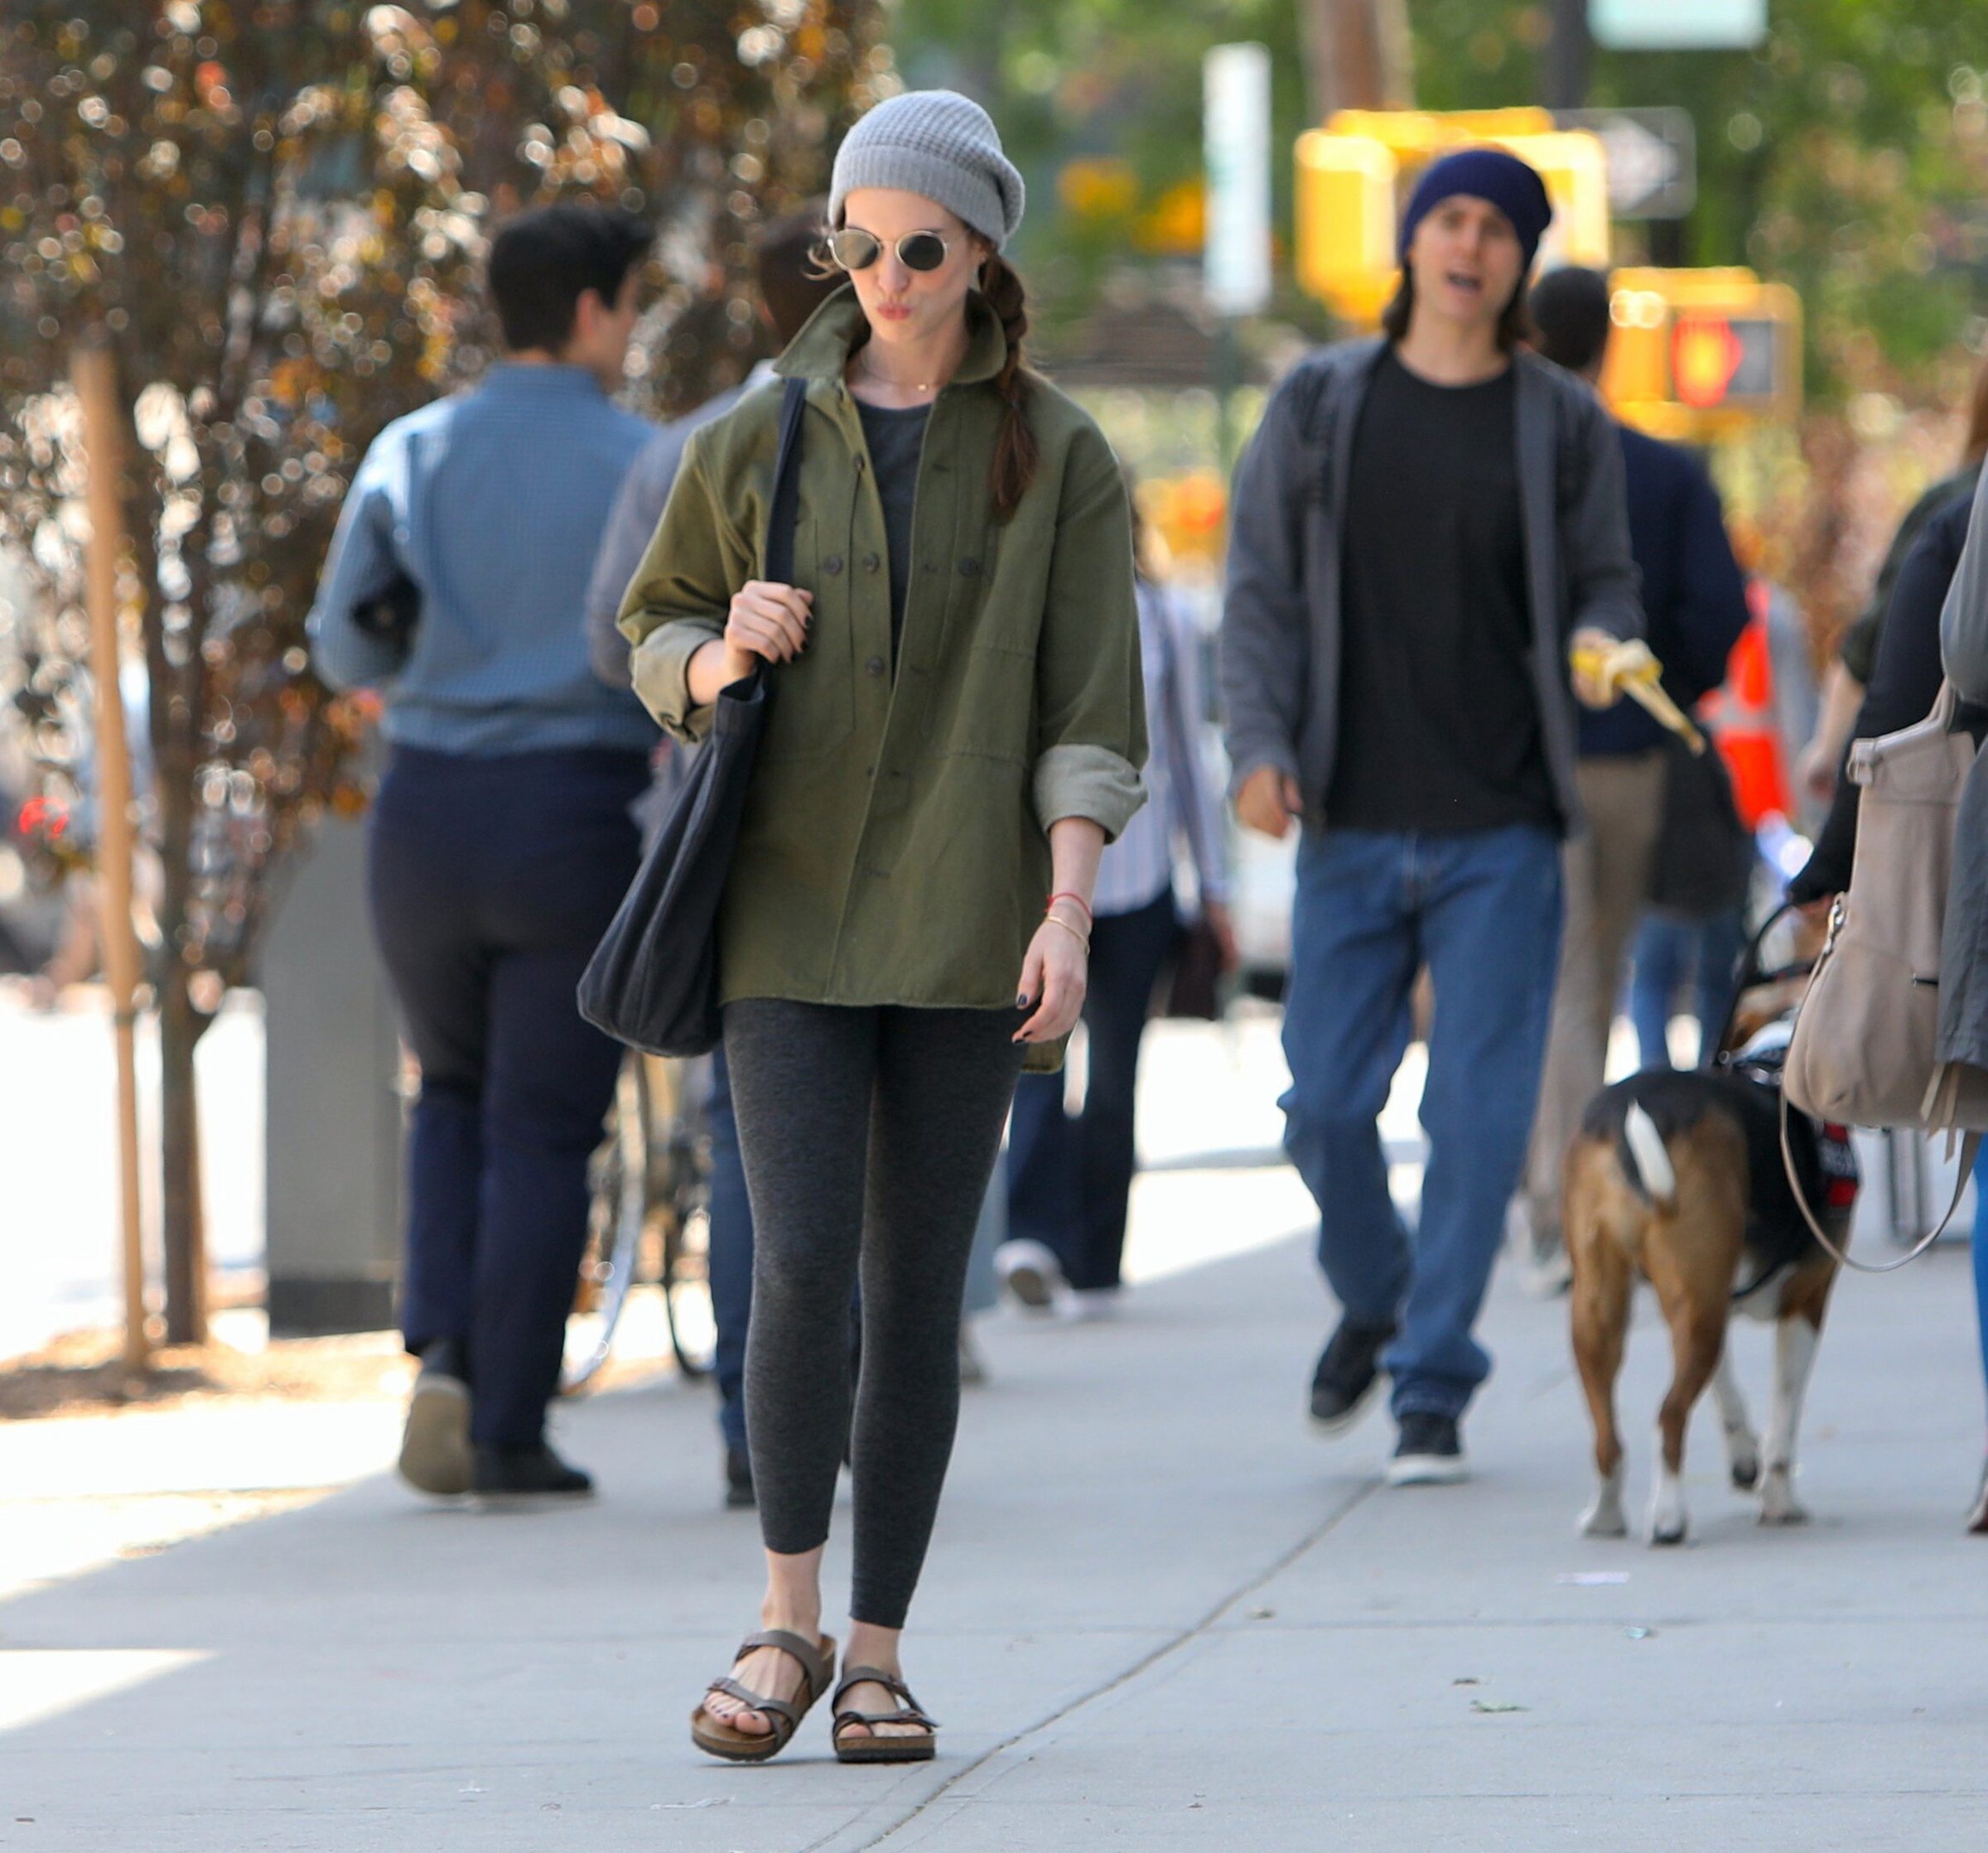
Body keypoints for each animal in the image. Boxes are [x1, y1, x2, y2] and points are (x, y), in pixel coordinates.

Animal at [1558, 1025, 1852, 1551]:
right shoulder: (1806, 1301)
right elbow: (1784, 1415)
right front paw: (1780, 1502)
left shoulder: (1711, 1297)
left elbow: (1725, 1389)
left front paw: (1745, 1459)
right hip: (1700, 1307)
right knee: (1669, 1416)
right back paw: (1668, 1518)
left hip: (1614, 1308)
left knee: (1608, 1437)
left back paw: (1605, 1515)